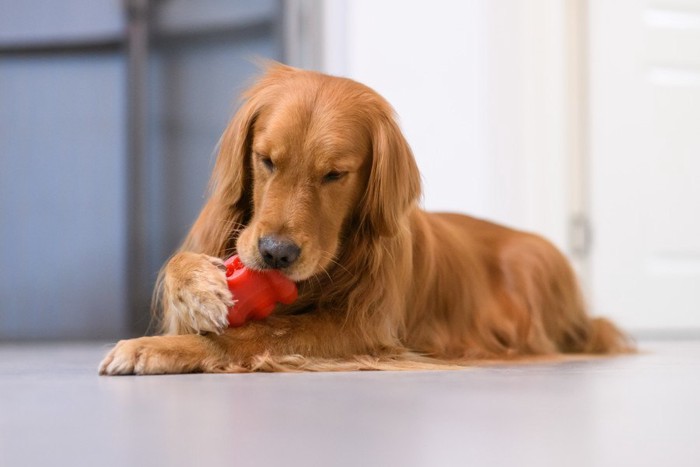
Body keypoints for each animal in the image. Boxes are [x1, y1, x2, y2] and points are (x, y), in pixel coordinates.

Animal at [97, 63, 628, 376]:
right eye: (266, 160)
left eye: (335, 174)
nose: (275, 254)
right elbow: (181, 269)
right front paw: (199, 289)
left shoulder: (365, 331)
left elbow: (256, 334)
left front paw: (160, 348)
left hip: (534, 261)